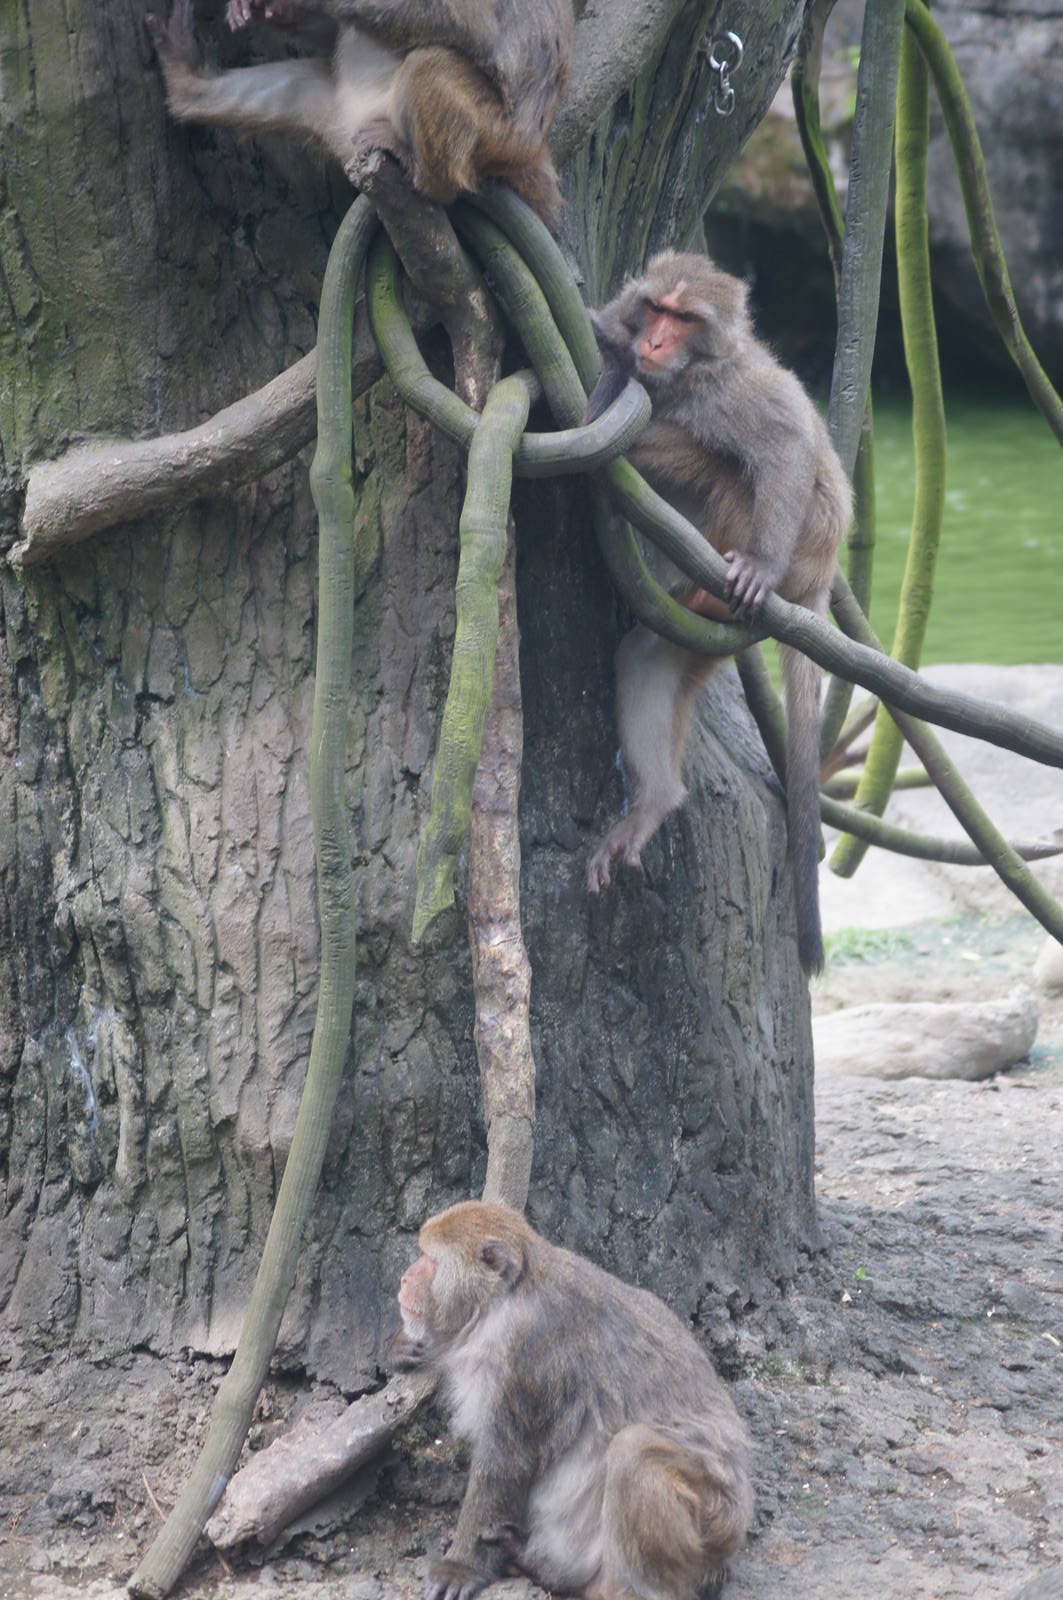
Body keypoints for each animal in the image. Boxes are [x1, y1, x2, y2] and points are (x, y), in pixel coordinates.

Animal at [147, 0, 572, 228]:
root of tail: (530, 151)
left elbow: (468, 23)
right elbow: (330, 34)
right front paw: (276, 9)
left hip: (497, 138)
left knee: (430, 64)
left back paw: (425, 175)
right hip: (336, 116)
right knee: (300, 88)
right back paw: (186, 84)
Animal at [390, 1199, 753, 1600]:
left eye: (430, 1260)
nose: (405, 1278)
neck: (503, 1300)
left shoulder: (522, 1360)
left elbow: (504, 1465)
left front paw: (461, 1566)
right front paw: (403, 1346)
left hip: (710, 1524)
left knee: (632, 1448)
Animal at [584, 252, 852, 977]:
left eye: (683, 320)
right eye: (655, 309)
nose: (651, 342)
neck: (685, 374)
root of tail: (819, 581)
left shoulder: (731, 392)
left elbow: (786, 443)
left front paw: (757, 562)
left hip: (795, 544)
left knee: (720, 461)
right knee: (648, 654)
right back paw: (654, 803)